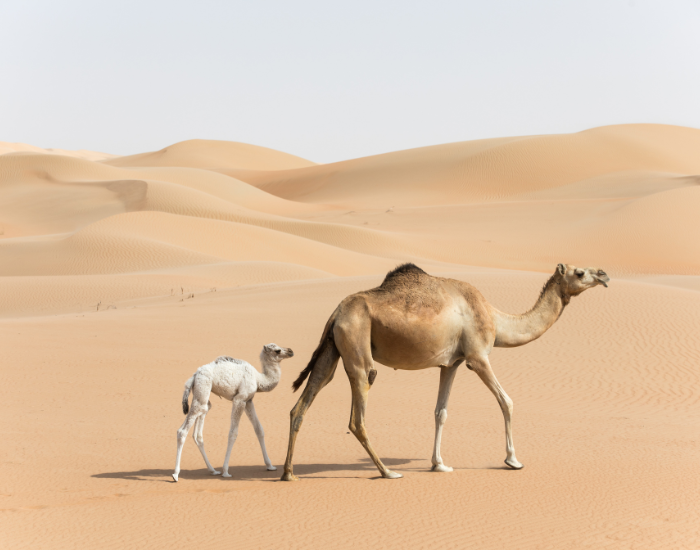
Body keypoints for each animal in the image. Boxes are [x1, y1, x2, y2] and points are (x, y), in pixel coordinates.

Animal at [172, 343, 294, 482]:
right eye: (277, 350)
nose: (291, 351)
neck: (258, 379)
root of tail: (194, 375)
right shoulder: (239, 399)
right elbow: (233, 433)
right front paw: (225, 471)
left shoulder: (249, 400)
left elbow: (259, 429)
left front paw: (270, 466)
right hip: (203, 386)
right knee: (182, 431)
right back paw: (175, 474)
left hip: (202, 396)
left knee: (198, 431)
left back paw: (213, 470)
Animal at [281, 263, 609, 481]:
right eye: (580, 272)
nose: (604, 275)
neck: (494, 318)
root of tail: (337, 312)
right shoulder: (478, 357)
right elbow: (507, 401)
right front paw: (513, 460)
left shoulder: (451, 363)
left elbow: (441, 412)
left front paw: (439, 464)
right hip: (358, 348)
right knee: (357, 414)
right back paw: (388, 472)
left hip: (331, 349)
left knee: (302, 404)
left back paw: (288, 473)